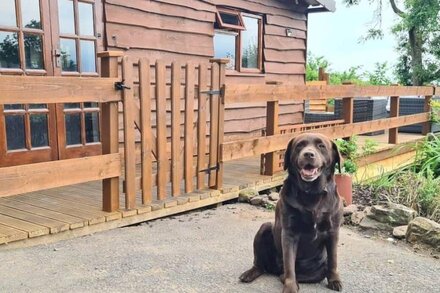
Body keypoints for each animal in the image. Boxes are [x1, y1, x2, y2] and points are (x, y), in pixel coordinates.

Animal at [241, 133, 344, 290]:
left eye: (321, 146)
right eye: (300, 145)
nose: (308, 154)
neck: (311, 193)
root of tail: (275, 269)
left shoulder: (333, 231)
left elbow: (333, 259)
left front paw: (334, 280)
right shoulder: (289, 232)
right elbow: (289, 263)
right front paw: (290, 287)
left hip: (319, 268)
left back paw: (283, 276)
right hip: (264, 228)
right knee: (261, 265)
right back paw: (251, 274)